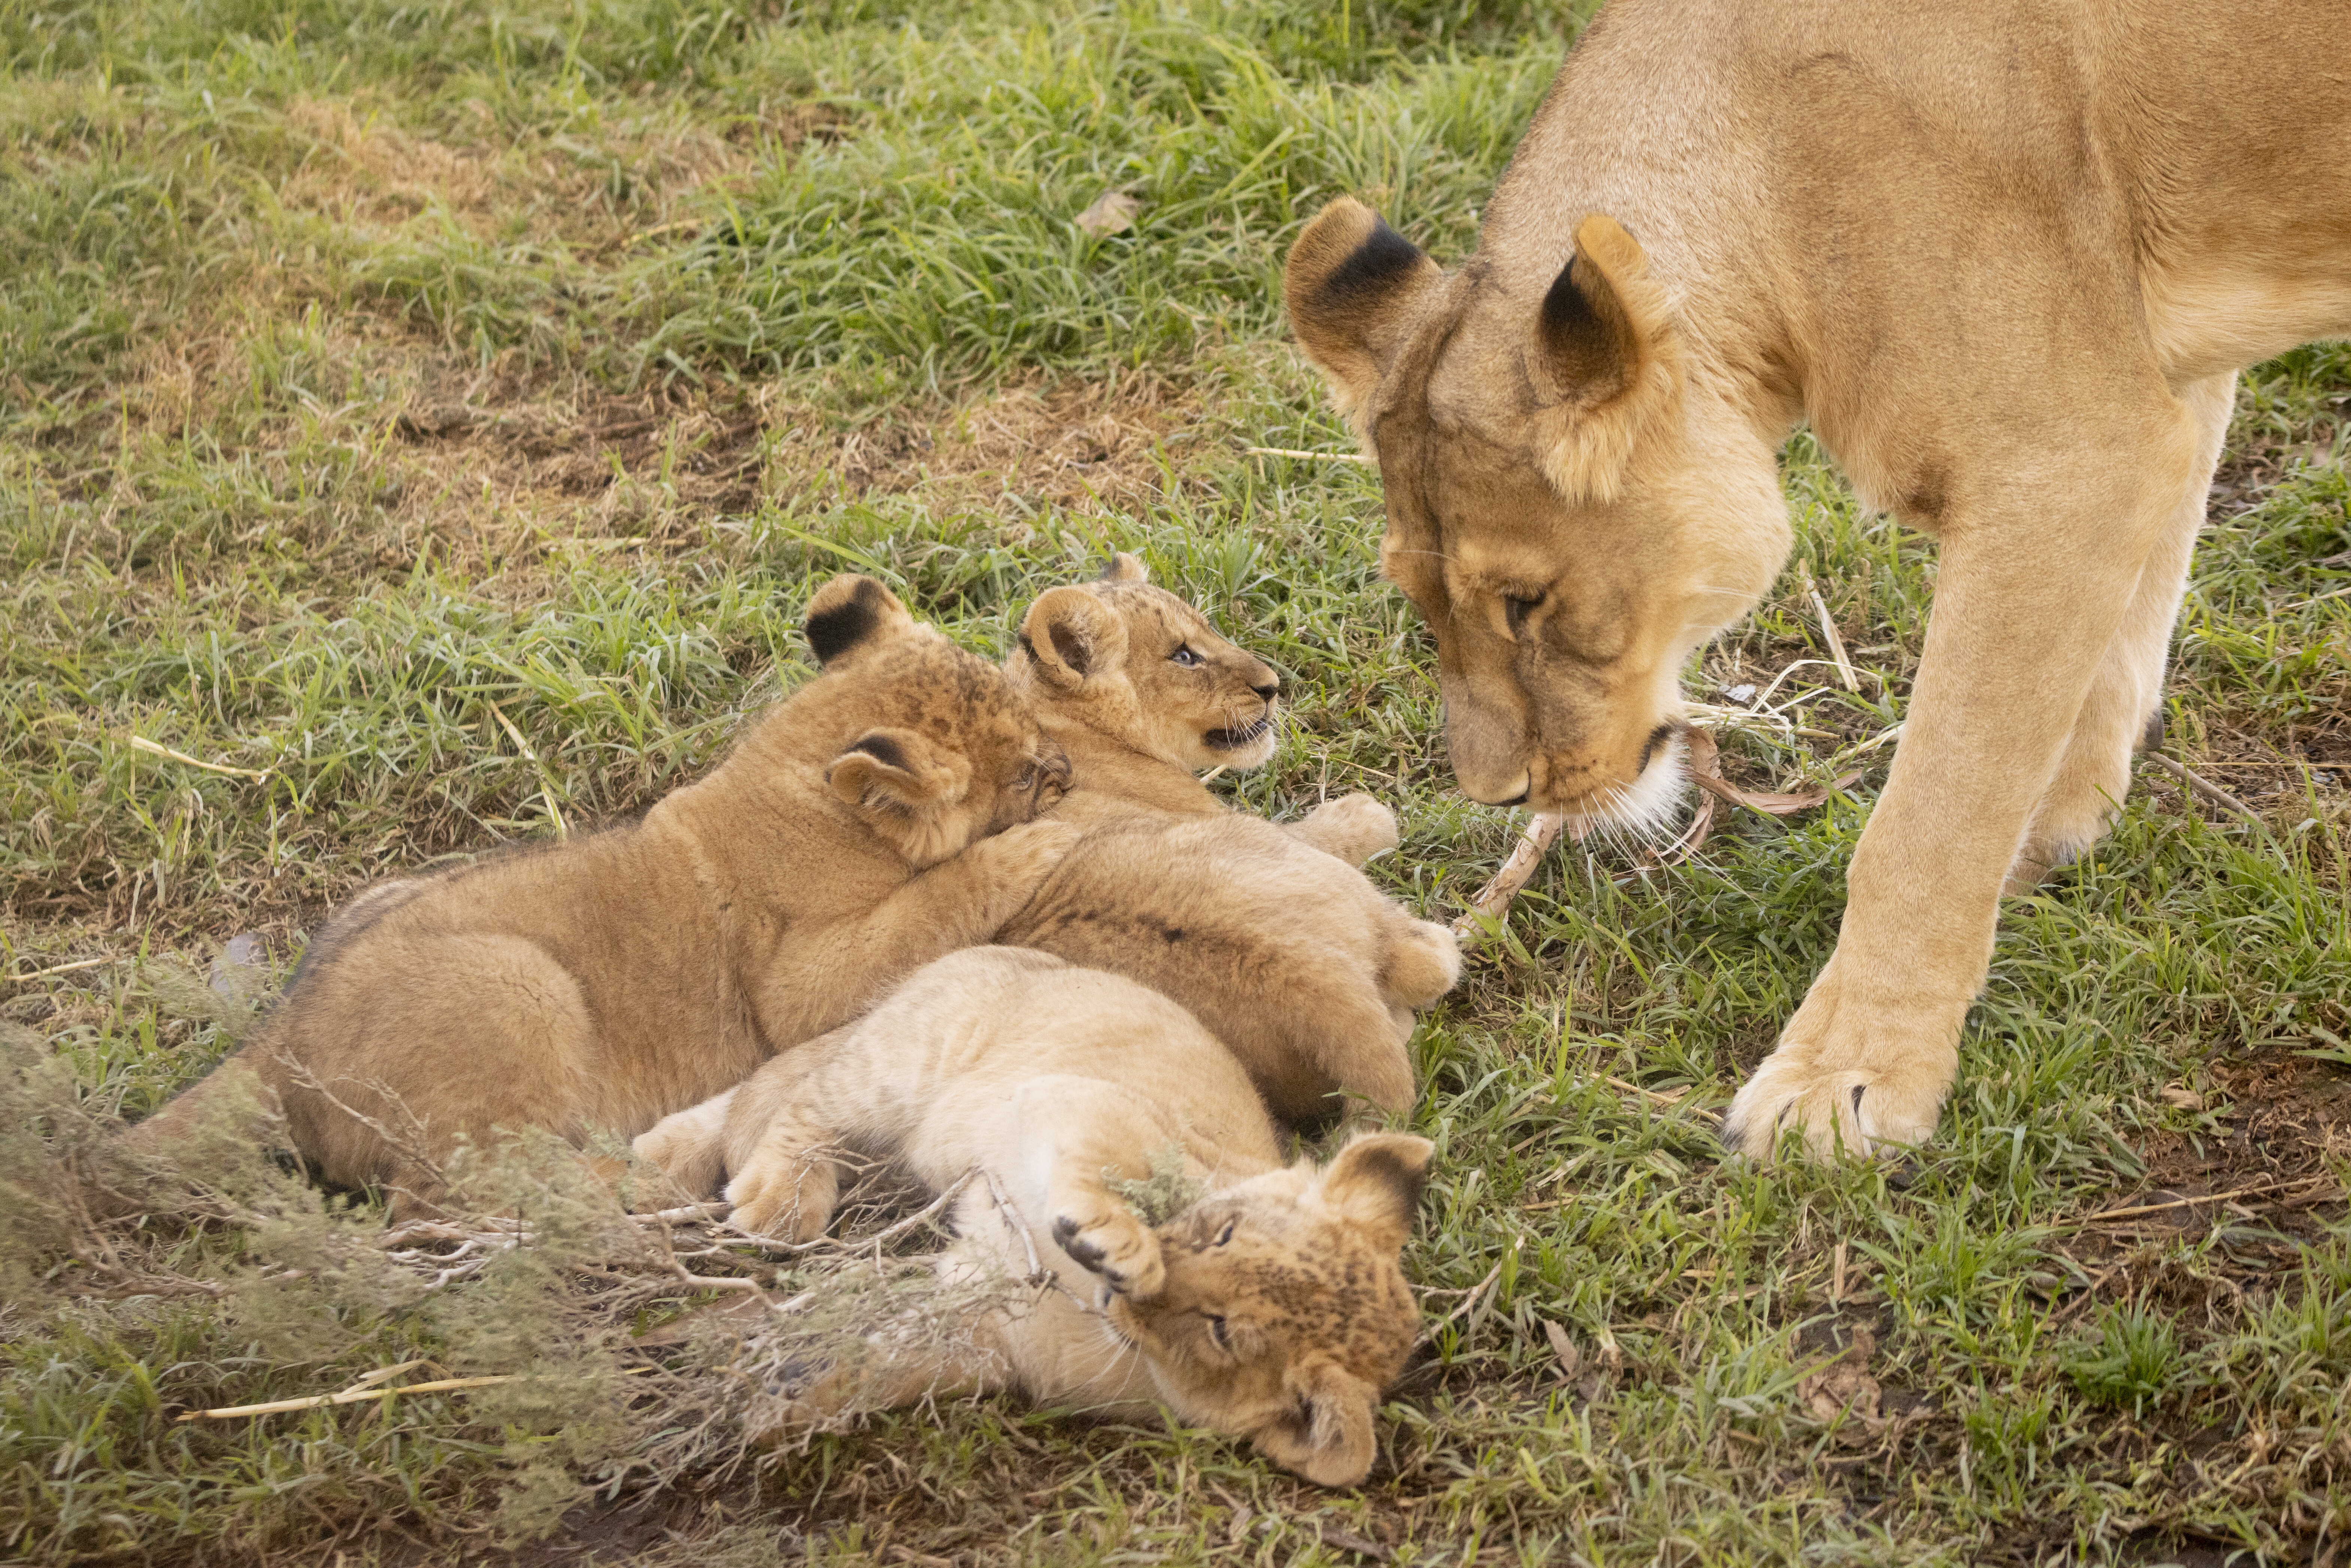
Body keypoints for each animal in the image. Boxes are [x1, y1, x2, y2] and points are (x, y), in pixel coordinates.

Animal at [1288, 0, 2351, 1152]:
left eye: (1526, 603)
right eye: (1417, 600)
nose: (1498, 796)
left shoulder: (2069, 454)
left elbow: (1933, 806)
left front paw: (1846, 1077)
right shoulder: (2145, 398)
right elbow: (2114, 640)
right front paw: (2053, 831)